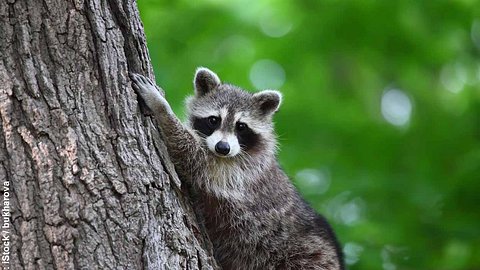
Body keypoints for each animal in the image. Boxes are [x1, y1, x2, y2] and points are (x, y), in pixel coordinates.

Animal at [129, 68, 344, 268]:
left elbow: (192, 155)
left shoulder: (239, 171)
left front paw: (161, 107)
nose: (222, 148)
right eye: (213, 120)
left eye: (241, 126)